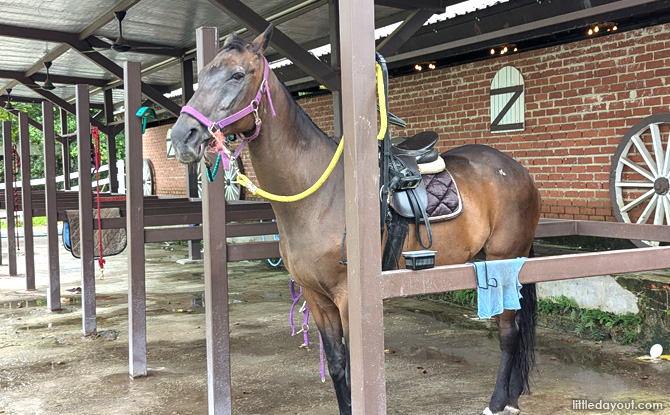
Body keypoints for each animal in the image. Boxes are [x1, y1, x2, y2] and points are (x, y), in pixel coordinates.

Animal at [170, 25, 542, 415]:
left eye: (237, 75)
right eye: (202, 76)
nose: (182, 137)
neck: (319, 196)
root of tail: (517, 171)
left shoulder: (348, 299)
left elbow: (355, 370)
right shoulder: (317, 298)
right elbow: (337, 365)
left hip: (504, 261)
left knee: (509, 333)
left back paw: (499, 402)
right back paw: (512, 396)